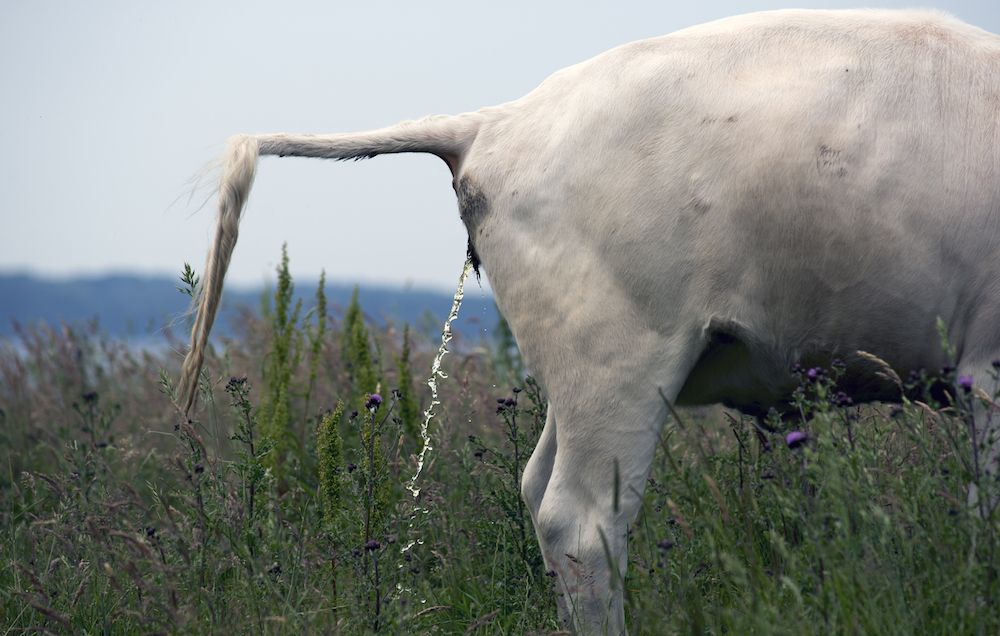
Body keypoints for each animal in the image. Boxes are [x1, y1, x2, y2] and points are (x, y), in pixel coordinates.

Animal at [180, 8, 1000, 632]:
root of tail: (501, 121)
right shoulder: (990, 368)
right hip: (622, 359)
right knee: (580, 522)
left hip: (577, 368)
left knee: (537, 487)